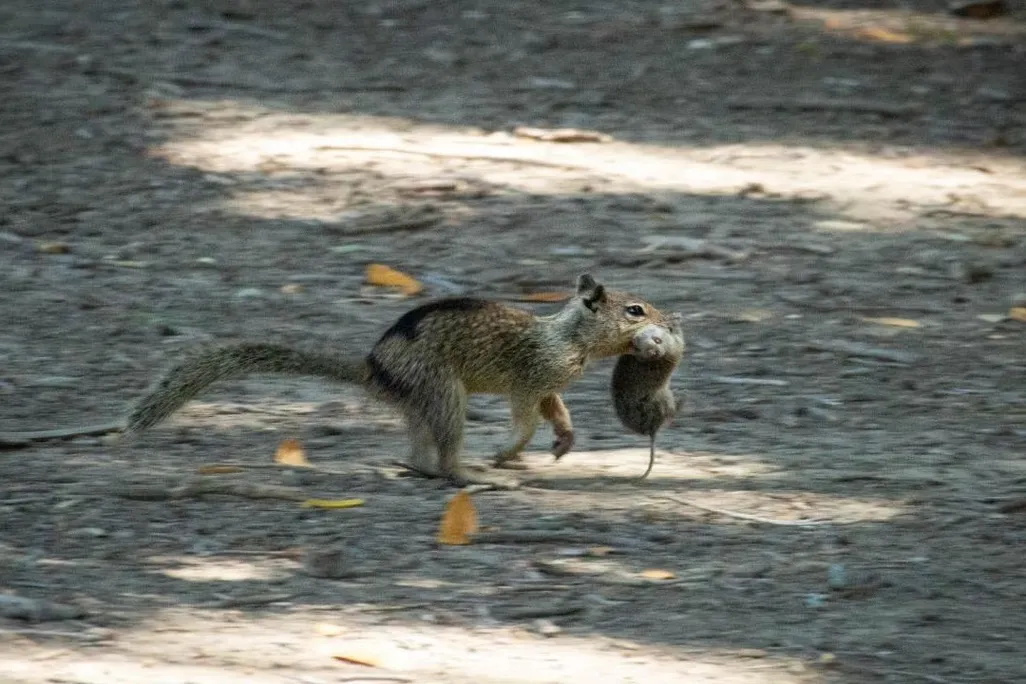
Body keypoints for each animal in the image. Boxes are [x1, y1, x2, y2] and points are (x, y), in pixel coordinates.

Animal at [122, 274, 674, 489]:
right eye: (635, 310)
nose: (671, 321)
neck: (569, 336)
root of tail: (372, 368)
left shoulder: (549, 385)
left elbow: (556, 409)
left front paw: (565, 439)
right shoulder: (530, 378)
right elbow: (525, 419)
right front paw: (509, 452)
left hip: (421, 402)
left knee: (420, 454)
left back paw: (422, 468)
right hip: (443, 392)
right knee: (446, 458)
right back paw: (475, 473)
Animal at [610, 312, 685, 479]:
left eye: (657, 340)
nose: (654, 351)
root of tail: (652, 430)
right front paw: (674, 319)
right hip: (666, 402)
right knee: (672, 413)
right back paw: (682, 397)